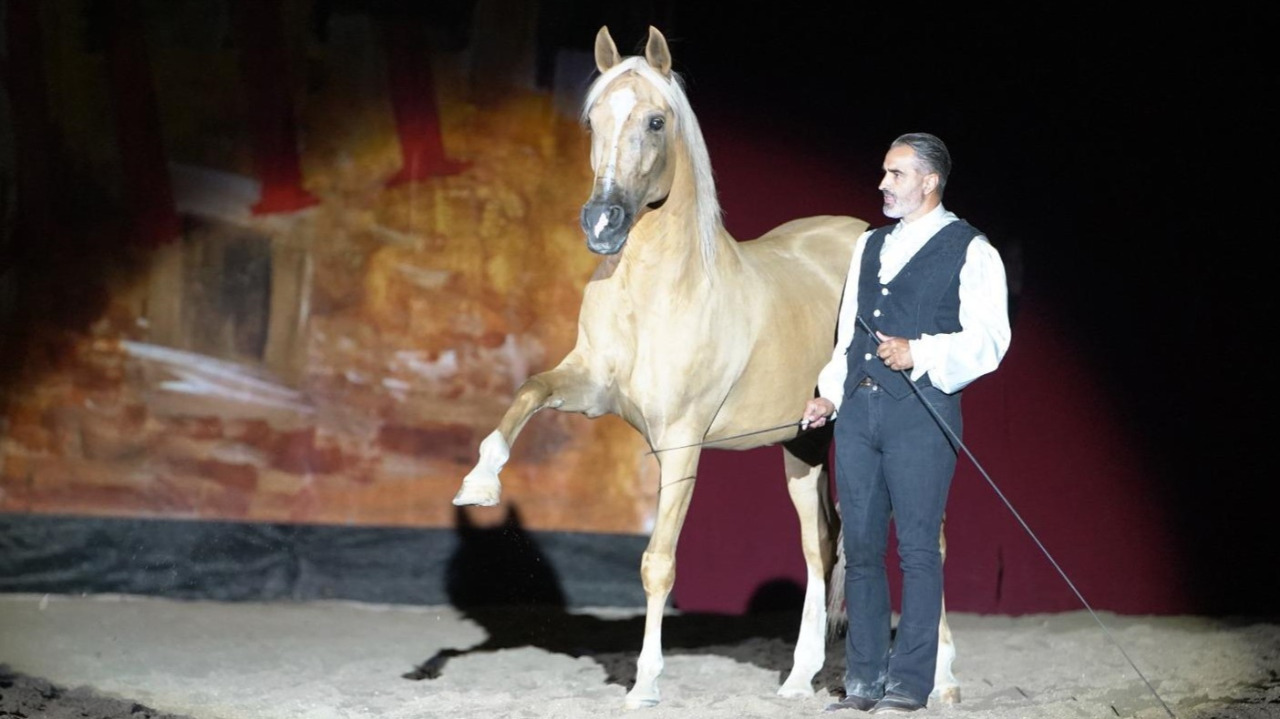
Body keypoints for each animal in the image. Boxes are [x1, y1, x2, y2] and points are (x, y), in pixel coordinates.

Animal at [452, 25, 959, 709]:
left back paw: (945, 681)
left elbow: (657, 562)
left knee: (927, 540)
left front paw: (645, 684)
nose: (602, 224)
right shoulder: (590, 388)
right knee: (822, 546)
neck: (660, 291)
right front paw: (480, 482)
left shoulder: (680, 442)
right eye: (592, 120)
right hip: (804, 445)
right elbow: (530, 391)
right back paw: (798, 679)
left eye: (656, 120)